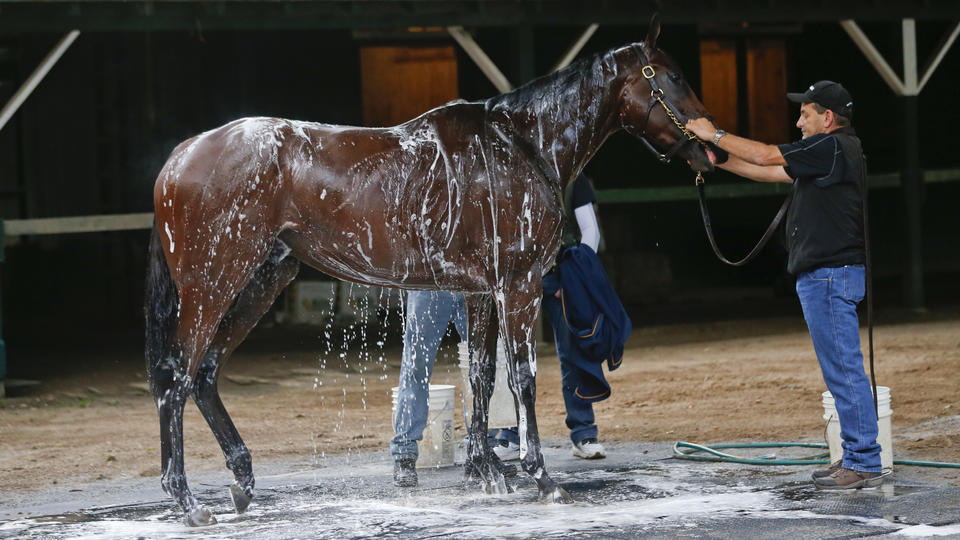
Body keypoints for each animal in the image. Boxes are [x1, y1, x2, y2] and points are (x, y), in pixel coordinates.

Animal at [142, 17, 712, 528]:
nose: (709, 146)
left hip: (259, 285)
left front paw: (487, 472)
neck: (522, 145)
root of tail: (180, 156)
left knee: (205, 375)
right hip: (212, 287)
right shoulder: (519, 286)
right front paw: (541, 476)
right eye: (672, 76)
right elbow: (522, 379)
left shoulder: (481, 292)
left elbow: (481, 376)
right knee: (177, 378)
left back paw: (241, 482)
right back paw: (188, 503)